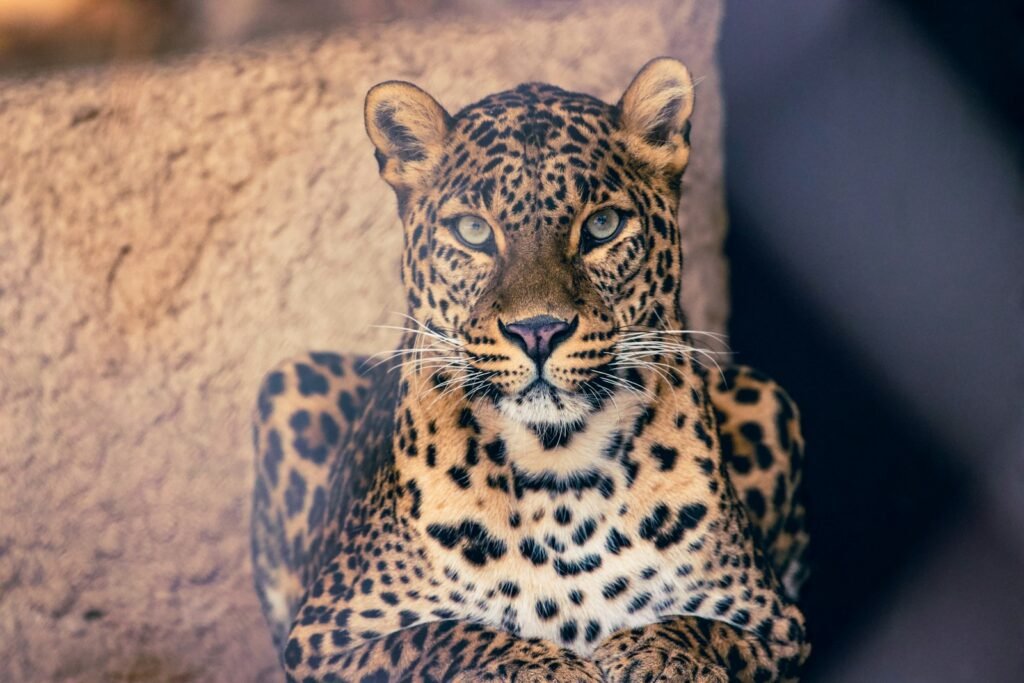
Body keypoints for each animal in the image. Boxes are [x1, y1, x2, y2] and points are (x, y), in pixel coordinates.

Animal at [250, 57, 810, 682]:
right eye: (473, 231)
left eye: (603, 225)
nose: (538, 331)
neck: (559, 468)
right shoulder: (322, 640)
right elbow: (441, 636)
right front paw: (546, 664)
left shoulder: (778, 626)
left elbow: (695, 627)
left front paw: (662, 655)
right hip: (291, 384)